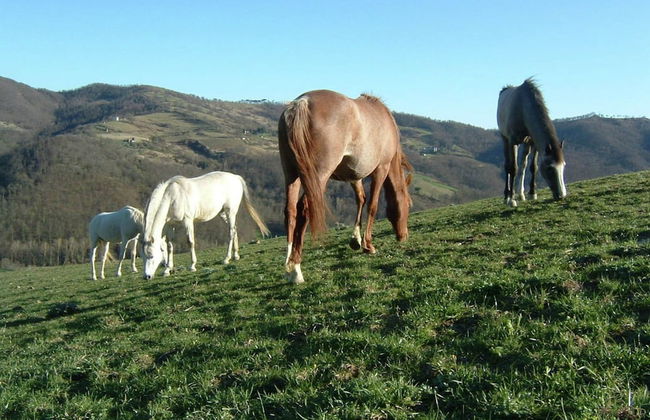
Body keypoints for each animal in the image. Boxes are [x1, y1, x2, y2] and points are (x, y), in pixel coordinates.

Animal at [141, 171, 270, 279]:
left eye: (152, 256)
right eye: (143, 257)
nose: (147, 276)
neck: (173, 196)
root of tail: (235, 177)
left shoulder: (188, 221)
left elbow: (190, 242)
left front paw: (192, 266)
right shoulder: (169, 225)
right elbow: (169, 246)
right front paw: (167, 270)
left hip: (230, 212)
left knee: (231, 232)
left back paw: (226, 259)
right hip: (223, 213)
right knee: (235, 229)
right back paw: (236, 255)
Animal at [278, 89, 413, 284]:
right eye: (408, 206)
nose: (404, 236)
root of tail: (301, 103)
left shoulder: (354, 176)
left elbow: (361, 199)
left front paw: (355, 240)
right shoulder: (381, 168)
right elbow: (372, 205)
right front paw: (368, 245)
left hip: (291, 174)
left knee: (290, 211)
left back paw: (288, 266)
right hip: (318, 176)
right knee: (304, 208)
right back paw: (296, 269)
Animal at [497, 78, 567, 207]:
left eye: (563, 166)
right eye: (550, 168)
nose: (561, 196)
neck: (523, 107)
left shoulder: (533, 142)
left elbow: (533, 167)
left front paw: (532, 193)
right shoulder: (512, 141)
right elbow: (512, 168)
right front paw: (511, 199)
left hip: (526, 144)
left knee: (523, 165)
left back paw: (521, 194)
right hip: (505, 139)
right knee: (508, 166)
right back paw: (507, 196)